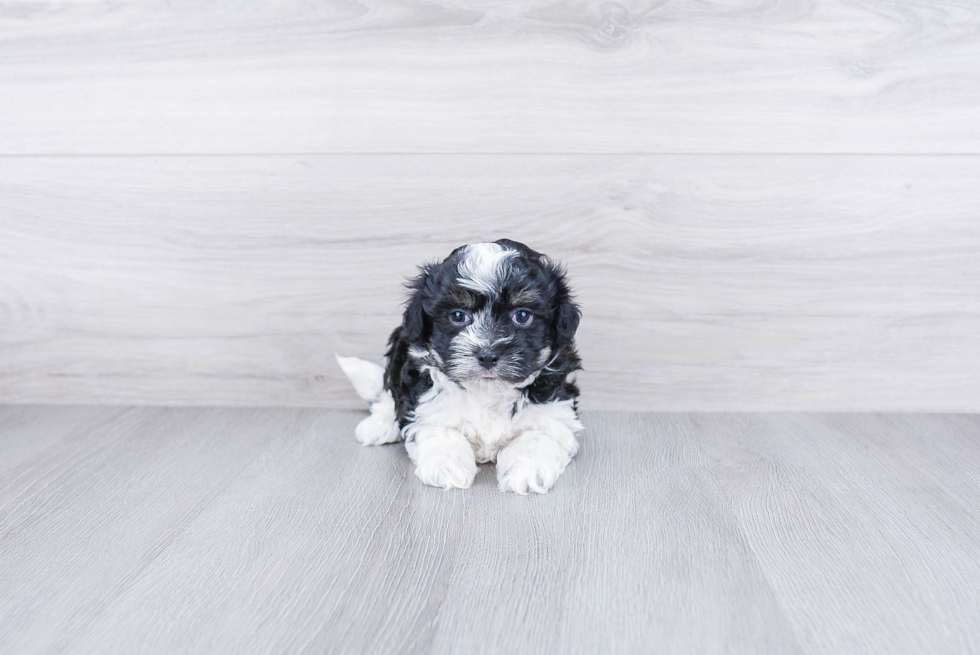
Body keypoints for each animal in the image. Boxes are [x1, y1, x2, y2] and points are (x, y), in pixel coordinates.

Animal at [336, 240, 580, 492]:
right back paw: (380, 425)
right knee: (388, 393)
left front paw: (529, 469)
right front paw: (445, 466)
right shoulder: (425, 405)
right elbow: (441, 430)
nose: (487, 355)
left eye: (522, 316)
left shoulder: (555, 409)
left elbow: (538, 434)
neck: (488, 394)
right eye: (458, 316)